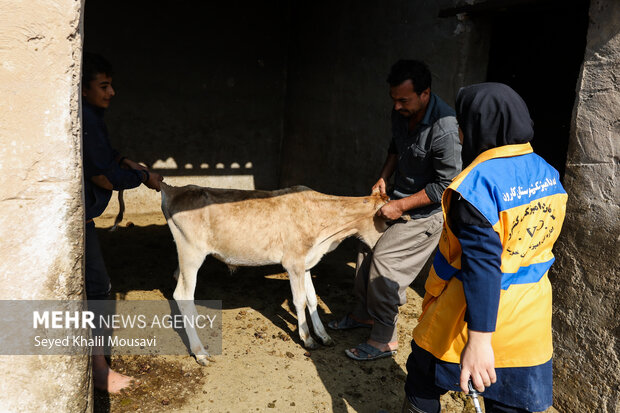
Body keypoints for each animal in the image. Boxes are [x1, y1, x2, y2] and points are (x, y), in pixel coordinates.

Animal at [162, 182, 390, 366]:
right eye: (388, 221)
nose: (381, 246)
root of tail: (174, 189)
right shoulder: (293, 262)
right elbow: (300, 301)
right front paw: (307, 338)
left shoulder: (307, 263)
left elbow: (312, 299)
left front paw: (323, 336)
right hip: (191, 254)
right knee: (182, 295)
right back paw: (200, 352)